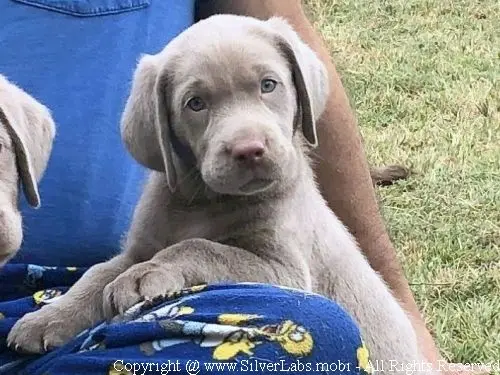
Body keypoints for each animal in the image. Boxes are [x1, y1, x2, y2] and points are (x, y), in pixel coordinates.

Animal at [6, 13, 430, 374]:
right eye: (195, 104)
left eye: (268, 85)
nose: (249, 150)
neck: (204, 200)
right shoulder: (138, 246)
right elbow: (96, 275)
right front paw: (48, 317)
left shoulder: (285, 269)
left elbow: (200, 247)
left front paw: (148, 275)